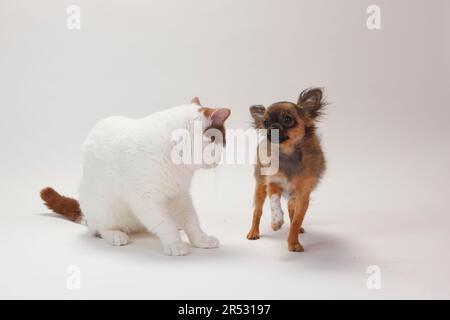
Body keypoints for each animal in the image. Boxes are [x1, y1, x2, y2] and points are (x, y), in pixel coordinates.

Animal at [40, 97, 230, 255]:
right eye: (221, 142)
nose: (220, 159)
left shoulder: (181, 196)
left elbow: (192, 222)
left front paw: (201, 240)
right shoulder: (145, 199)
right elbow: (165, 224)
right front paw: (175, 244)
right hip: (102, 207)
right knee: (99, 229)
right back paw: (115, 234)